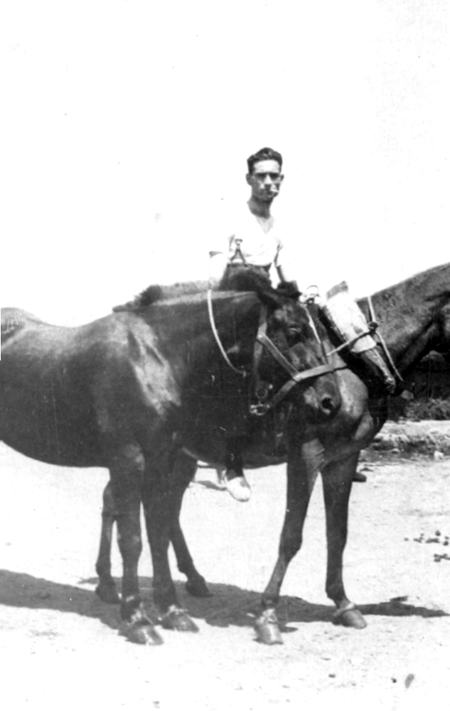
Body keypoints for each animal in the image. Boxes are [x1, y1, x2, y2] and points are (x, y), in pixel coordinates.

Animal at [0, 273, 341, 645]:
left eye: (323, 332)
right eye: (294, 331)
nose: (331, 402)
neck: (153, 356)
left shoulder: (162, 461)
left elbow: (159, 533)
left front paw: (173, 611)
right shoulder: (129, 461)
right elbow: (132, 540)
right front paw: (137, 618)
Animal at [95, 262, 450, 644]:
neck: (353, 362)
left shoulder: (343, 459)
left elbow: (337, 534)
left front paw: (343, 603)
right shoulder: (306, 455)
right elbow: (291, 536)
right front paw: (268, 614)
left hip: (180, 452)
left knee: (163, 509)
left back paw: (189, 578)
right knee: (119, 501)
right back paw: (108, 583)